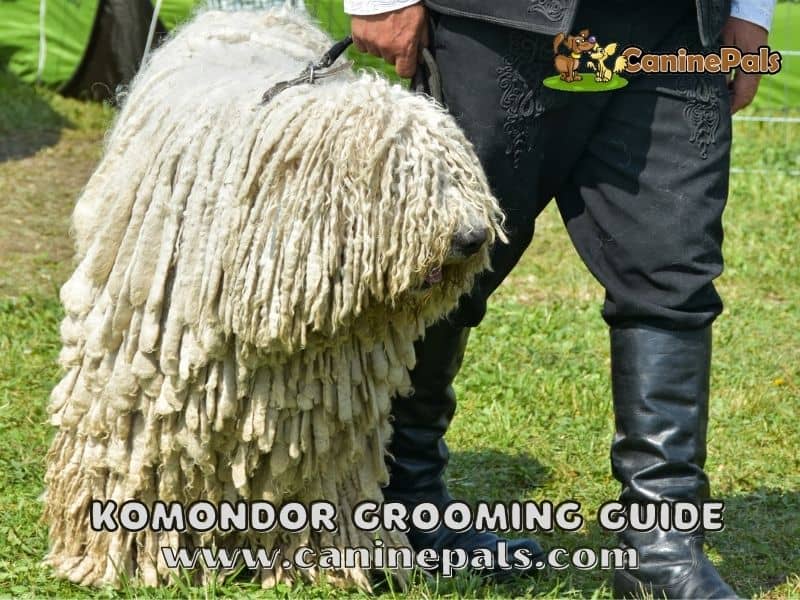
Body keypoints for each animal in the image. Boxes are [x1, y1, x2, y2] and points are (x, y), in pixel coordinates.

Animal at [42, 7, 506, 592]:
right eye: (400, 179)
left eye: (460, 170)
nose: (472, 237)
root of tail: (251, 10)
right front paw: (113, 556)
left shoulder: (323, 403)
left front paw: (321, 563)